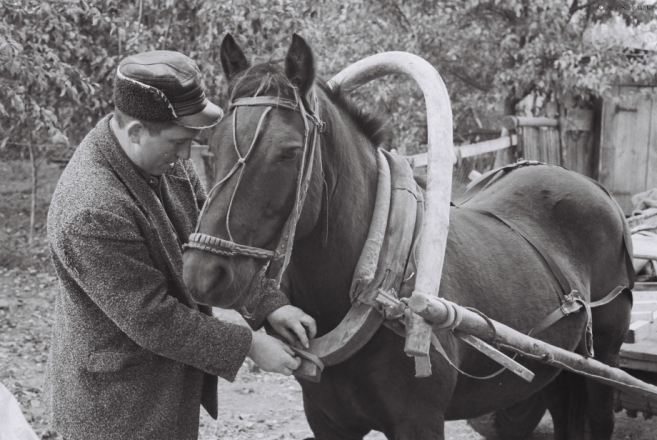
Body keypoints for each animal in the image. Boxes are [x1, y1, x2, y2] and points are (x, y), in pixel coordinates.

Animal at [182, 34, 634, 440]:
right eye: (211, 144)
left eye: (290, 151)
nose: (203, 273)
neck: (380, 284)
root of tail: (595, 187)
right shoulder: (327, 421)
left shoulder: (419, 422)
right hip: (556, 368)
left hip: (606, 361)